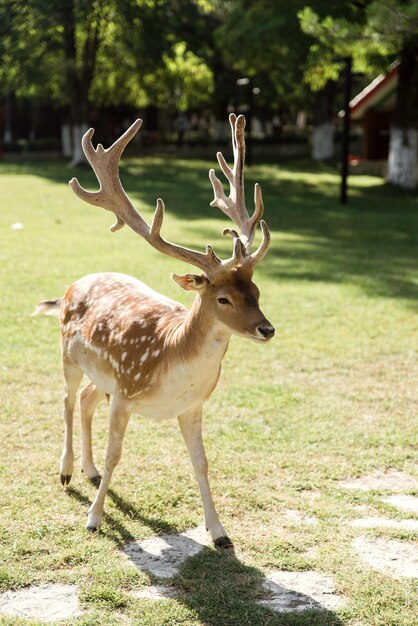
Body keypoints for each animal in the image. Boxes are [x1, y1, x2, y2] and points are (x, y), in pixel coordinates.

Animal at [36, 112, 274, 544]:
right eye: (224, 299)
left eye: (256, 291)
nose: (267, 330)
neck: (171, 357)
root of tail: (73, 284)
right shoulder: (125, 393)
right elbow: (116, 456)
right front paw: (94, 519)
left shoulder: (192, 406)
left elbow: (202, 463)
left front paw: (219, 532)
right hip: (67, 355)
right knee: (66, 399)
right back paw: (66, 471)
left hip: (101, 375)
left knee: (86, 400)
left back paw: (88, 471)